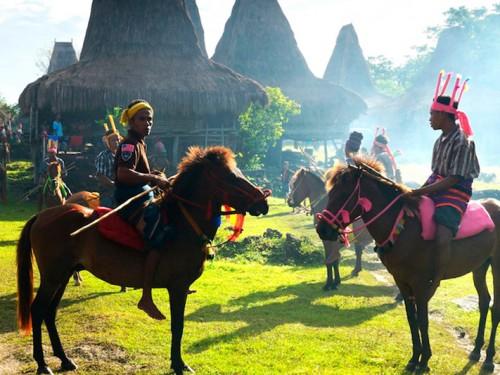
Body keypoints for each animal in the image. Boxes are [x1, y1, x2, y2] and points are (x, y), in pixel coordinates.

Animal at [16, 147, 270, 375]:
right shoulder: (178, 287)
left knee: (49, 312)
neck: (182, 225)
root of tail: (41, 216)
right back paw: (42, 364)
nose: (263, 202)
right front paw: (178, 364)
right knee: (38, 310)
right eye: (230, 176)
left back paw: (65, 359)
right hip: (53, 276)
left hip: (64, 274)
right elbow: (178, 326)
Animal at [316, 158, 500, 374]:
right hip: (480, 265)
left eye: (344, 193)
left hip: (496, 265)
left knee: (495, 307)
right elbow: (412, 319)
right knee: (484, 302)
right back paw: (477, 350)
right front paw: (414, 358)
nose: (322, 229)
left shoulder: (421, 284)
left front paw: (424, 360)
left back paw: (489, 358)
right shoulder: (402, 281)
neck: (402, 227)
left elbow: (422, 319)